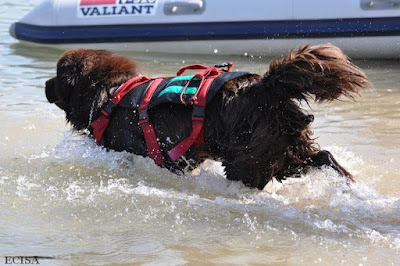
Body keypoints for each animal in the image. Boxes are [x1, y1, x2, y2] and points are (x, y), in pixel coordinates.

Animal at [45, 43, 370, 189]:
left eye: (58, 74)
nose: (45, 85)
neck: (110, 93)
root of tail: (265, 87)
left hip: (252, 158)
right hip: (285, 147)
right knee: (323, 156)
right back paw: (347, 182)